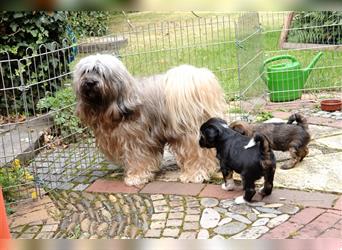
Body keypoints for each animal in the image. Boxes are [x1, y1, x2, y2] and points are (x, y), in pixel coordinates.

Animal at [73, 53, 226, 185]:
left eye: (101, 73)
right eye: (85, 72)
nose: (90, 82)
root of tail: (198, 81)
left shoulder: (135, 140)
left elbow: (137, 160)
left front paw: (136, 177)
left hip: (189, 132)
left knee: (198, 153)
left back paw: (194, 175)